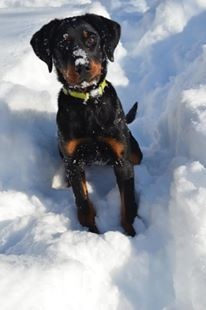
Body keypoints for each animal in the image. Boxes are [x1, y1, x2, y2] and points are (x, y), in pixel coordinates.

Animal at [30, 13, 142, 236]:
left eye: (91, 39)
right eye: (62, 43)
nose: (81, 65)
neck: (88, 103)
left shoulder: (122, 160)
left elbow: (128, 204)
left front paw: (132, 234)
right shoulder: (73, 160)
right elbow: (82, 202)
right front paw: (91, 233)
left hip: (134, 151)